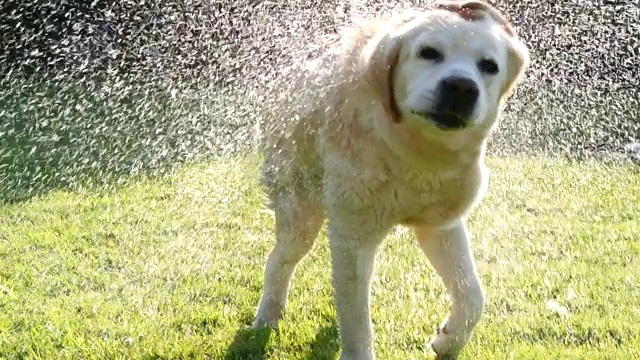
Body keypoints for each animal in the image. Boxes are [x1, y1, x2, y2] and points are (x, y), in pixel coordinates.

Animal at [250, 1, 528, 358]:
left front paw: (448, 339)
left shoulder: (441, 226)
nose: (462, 87)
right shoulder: (353, 236)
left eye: (489, 66)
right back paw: (267, 317)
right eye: (428, 52)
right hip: (300, 210)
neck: (414, 151)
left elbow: (472, 296)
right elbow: (357, 325)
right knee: (279, 260)